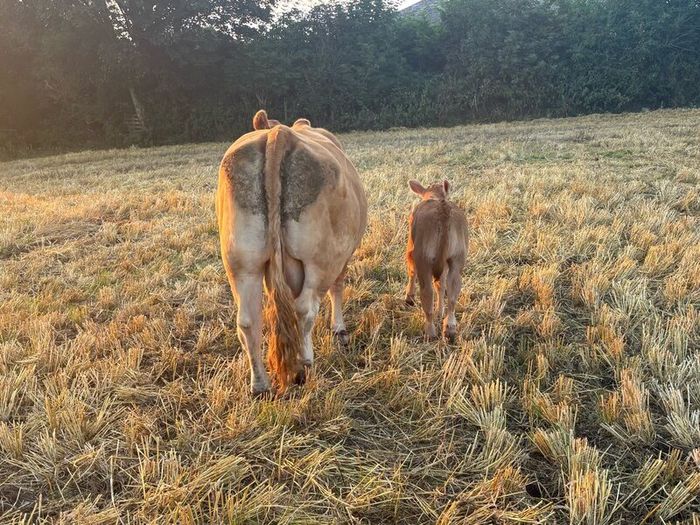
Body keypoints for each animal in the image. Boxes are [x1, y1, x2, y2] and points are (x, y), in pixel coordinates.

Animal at [217, 110, 367, 396]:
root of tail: (279, 134)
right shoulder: (343, 255)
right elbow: (338, 288)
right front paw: (339, 330)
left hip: (242, 262)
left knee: (248, 321)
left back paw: (260, 385)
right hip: (321, 260)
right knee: (305, 309)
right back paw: (304, 363)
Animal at [404, 179, 468, 341]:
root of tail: (442, 209)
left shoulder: (410, 250)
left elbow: (411, 272)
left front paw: (409, 298)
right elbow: (441, 285)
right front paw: (440, 312)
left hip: (423, 260)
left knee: (427, 292)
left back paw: (430, 332)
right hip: (457, 260)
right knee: (451, 294)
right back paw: (449, 328)